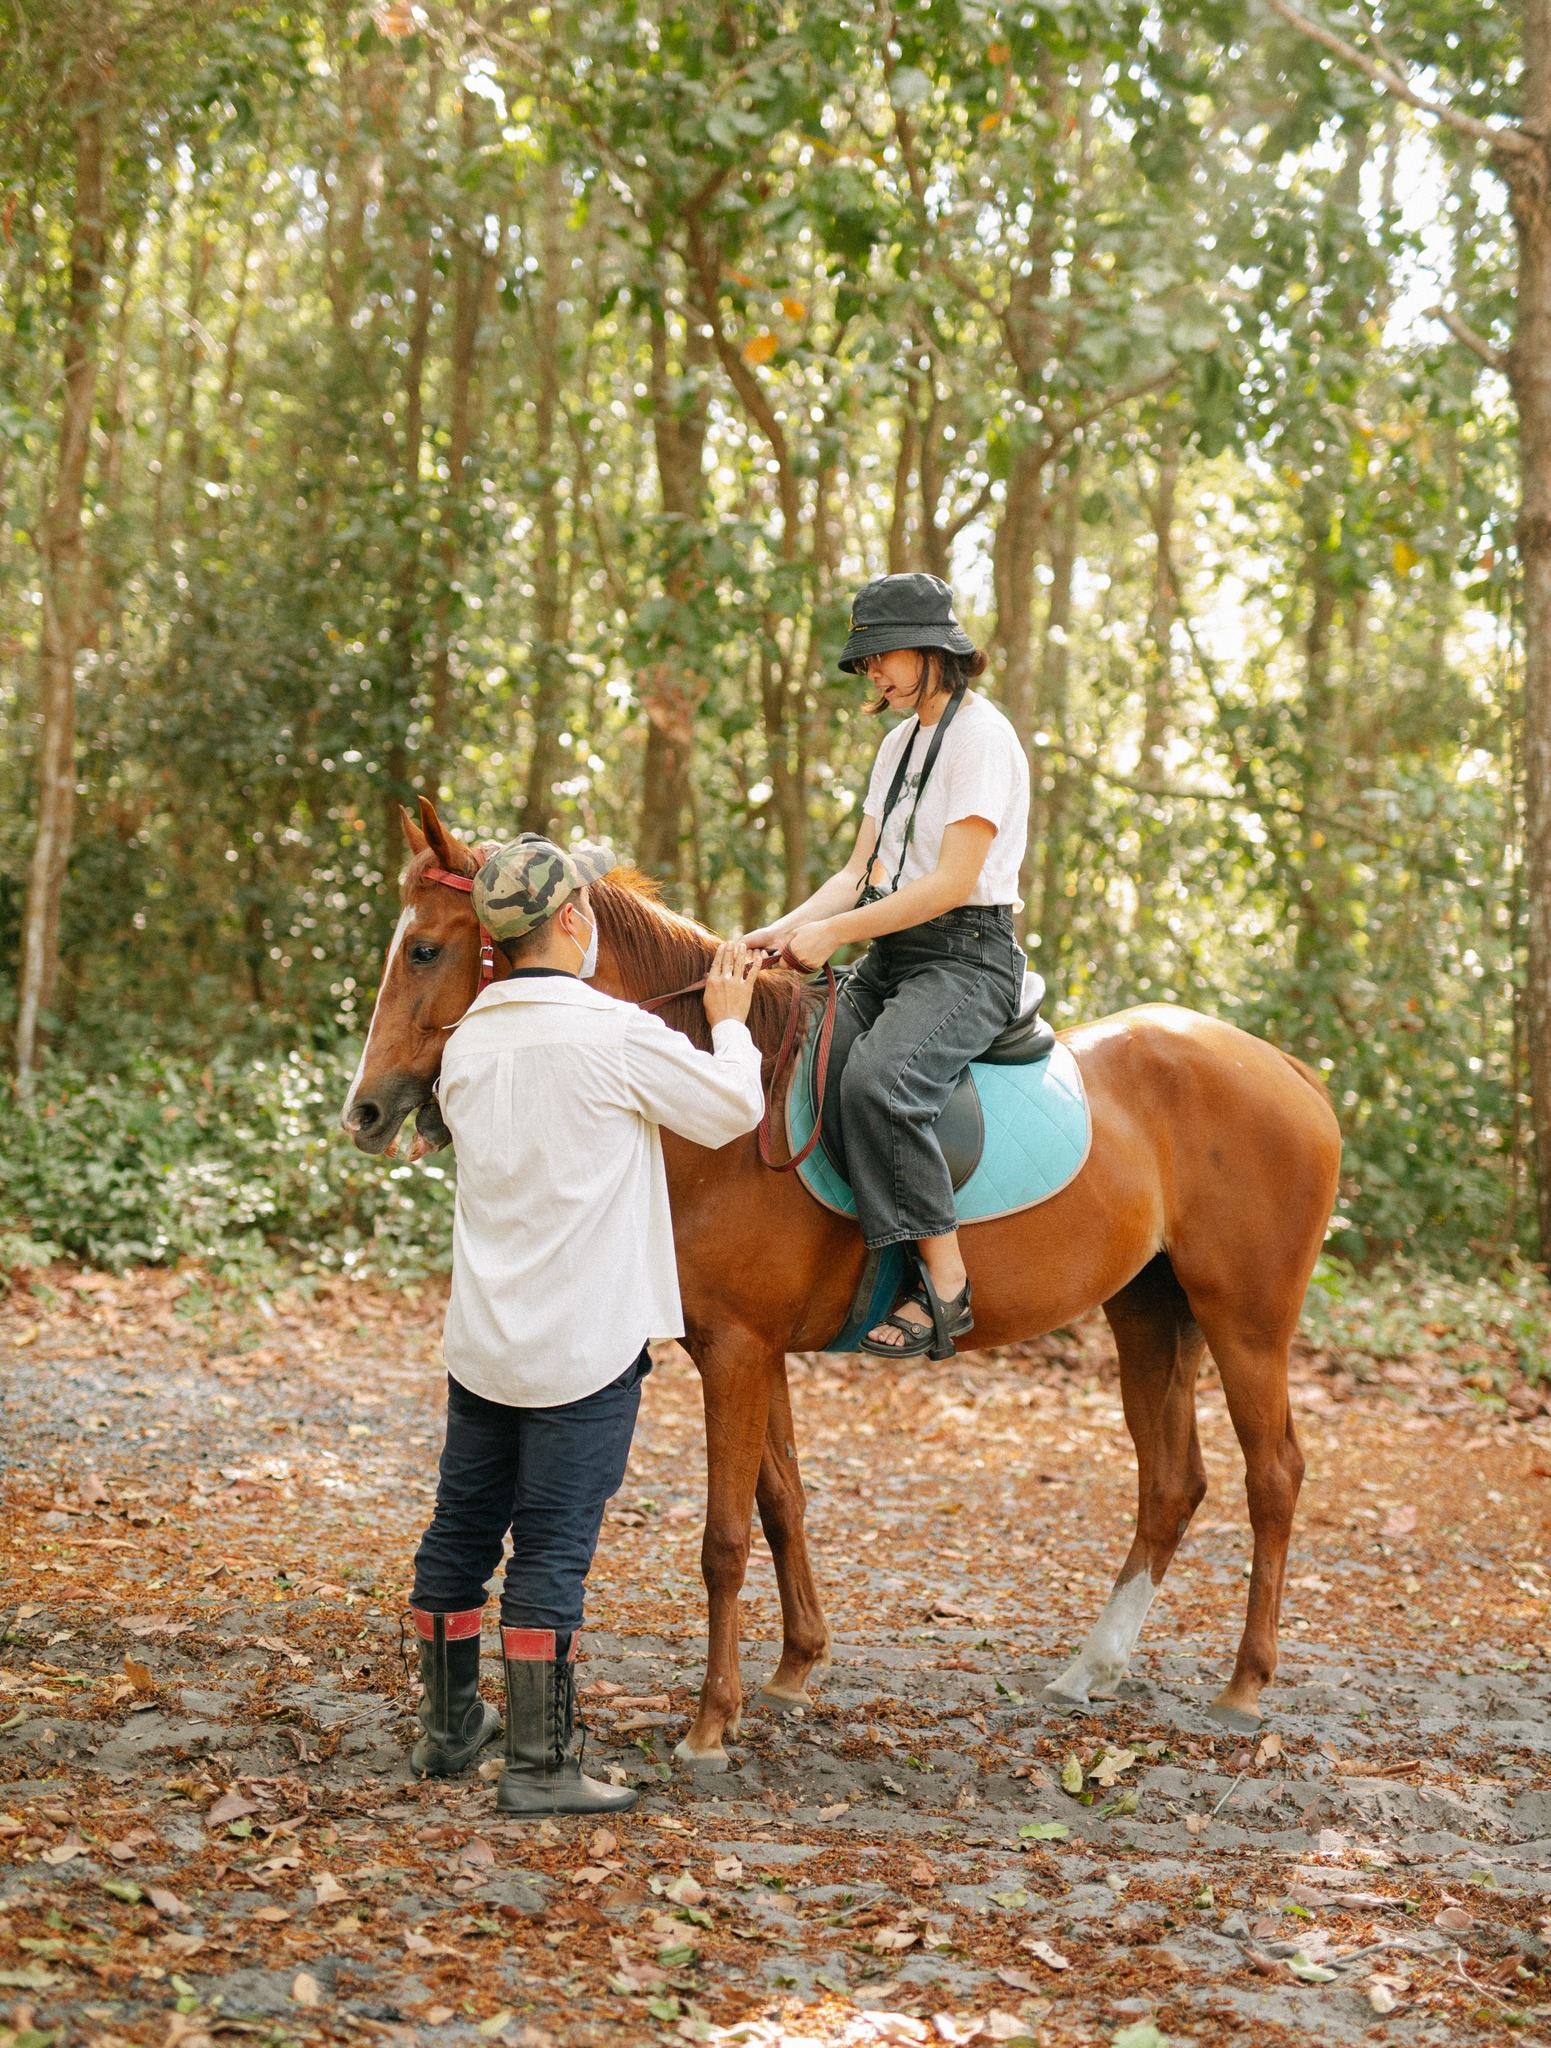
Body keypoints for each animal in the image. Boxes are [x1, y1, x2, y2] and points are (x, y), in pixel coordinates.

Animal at [344, 798, 1335, 1761]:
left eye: (424, 949)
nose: (365, 1111)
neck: (722, 1105)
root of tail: (1285, 1069)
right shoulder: (747, 1350)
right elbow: (781, 1503)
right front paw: (792, 1671)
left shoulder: (737, 1351)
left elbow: (724, 1538)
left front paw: (711, 1723)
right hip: (1150, 1312)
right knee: (1171, 1483)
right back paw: (1091, 1668)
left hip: (1245, 1323)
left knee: (1273, 1476)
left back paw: (1244, 1685)